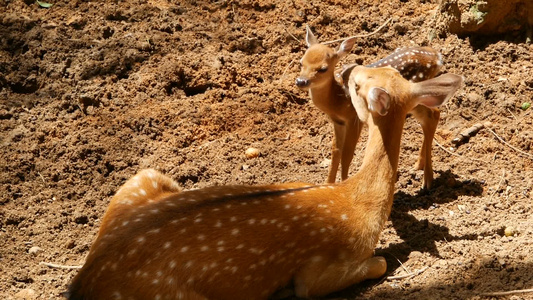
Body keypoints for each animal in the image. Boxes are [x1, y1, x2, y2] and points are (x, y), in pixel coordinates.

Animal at [64, 65, 460, 298]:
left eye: (364, 79)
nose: (350, 69)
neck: (360, 204)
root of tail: (85, 283)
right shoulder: (319, 271)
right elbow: (378, 263)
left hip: (141, 178)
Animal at [298, 25, 442, 188]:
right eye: (301, 62)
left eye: (323, 68)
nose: (301, 81)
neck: (336, 99)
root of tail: (437, 57)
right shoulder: (338, 122)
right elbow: (336, 151)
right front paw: (327, 184)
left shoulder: (354, 118)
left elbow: (347, 154)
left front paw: (344, 183)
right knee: (432, 114)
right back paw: (418, 165)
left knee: (432, 115)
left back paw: (427, 179)